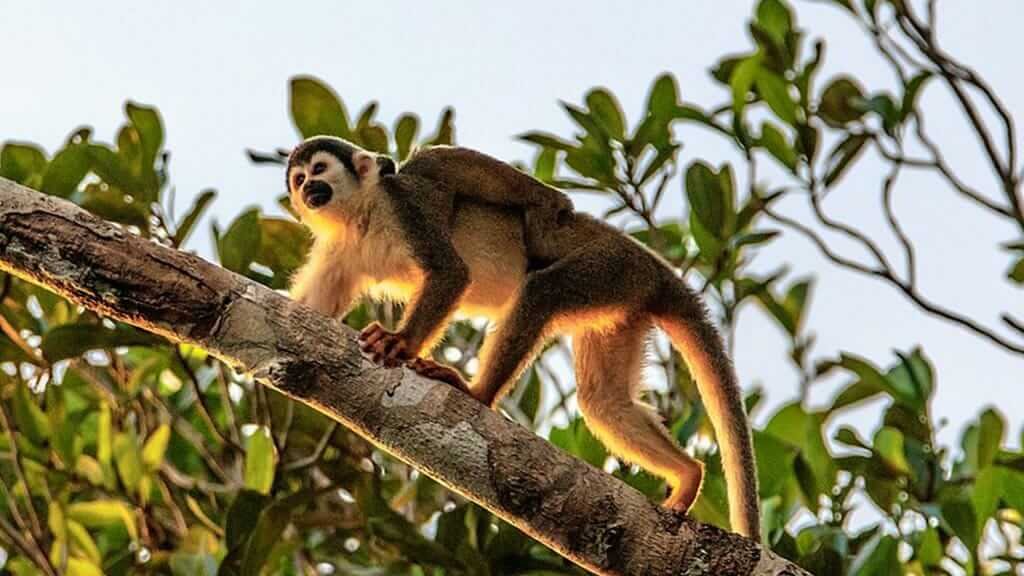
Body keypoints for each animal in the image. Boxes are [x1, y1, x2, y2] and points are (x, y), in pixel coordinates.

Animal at [285, 136, 761, 539]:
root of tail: (655, 270)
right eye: (299, 179)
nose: (309, 190)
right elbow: (309, 312)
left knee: (542, 288)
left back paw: (478, 393)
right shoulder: (338, 249)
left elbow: (450, 272)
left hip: (611, 266)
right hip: (624, 302)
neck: (361, 216)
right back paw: (689, 473)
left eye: (319, 170)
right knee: (604, 403)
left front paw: (401, 344)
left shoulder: (406, 206)